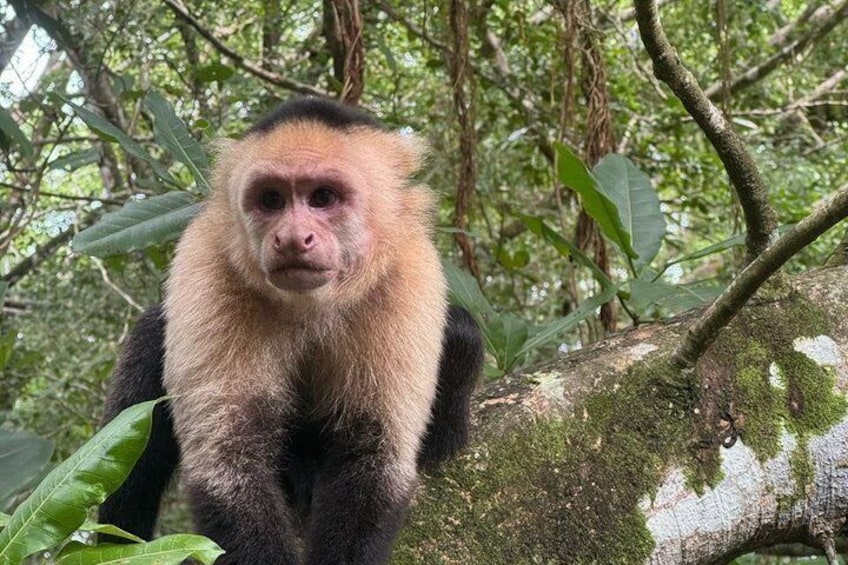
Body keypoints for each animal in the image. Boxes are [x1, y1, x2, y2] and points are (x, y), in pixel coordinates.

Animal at [97, 97, 484, 565]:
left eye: (323, 197)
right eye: (271, 199)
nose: (294, 237)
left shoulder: (408, 271)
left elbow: (373, 457)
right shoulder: (208, 259)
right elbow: (229, 462)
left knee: (461, 331)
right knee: (150, 344)